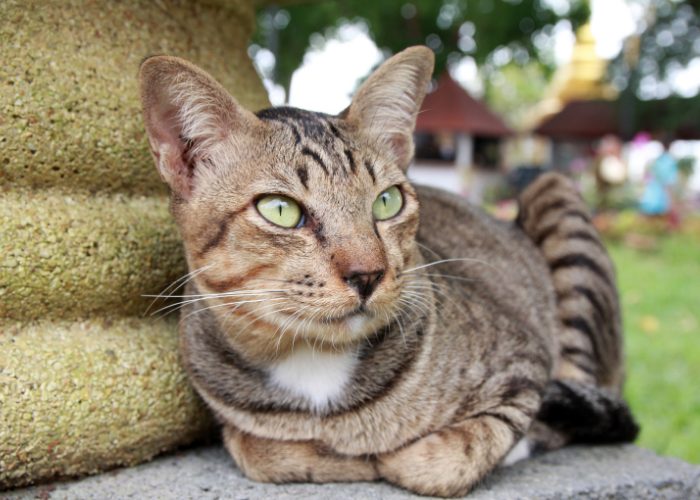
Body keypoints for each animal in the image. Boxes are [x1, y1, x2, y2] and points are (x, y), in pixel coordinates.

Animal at [139, 46, 636, 496]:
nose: (368, 274)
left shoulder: (524, 361)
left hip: (554, 195)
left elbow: (442, 458)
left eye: (387, 201)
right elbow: (256, 449)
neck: (315, 364)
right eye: (280, 209)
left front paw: (381, 458)